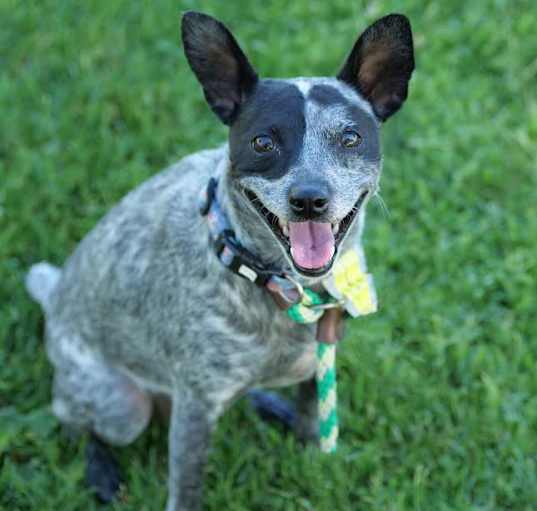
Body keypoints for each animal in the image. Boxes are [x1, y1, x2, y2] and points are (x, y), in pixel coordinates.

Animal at [26, 11, 414, 511]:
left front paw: (313, 463)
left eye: (350, 138)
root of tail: (53, 295)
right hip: (122, 407)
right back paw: (101, 472)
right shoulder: (195, 407)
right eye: (263, 142)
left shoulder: (317, 360)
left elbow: (313, 424)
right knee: (76, 422)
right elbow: (186, 488)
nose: (310, 199)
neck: (276, 282)